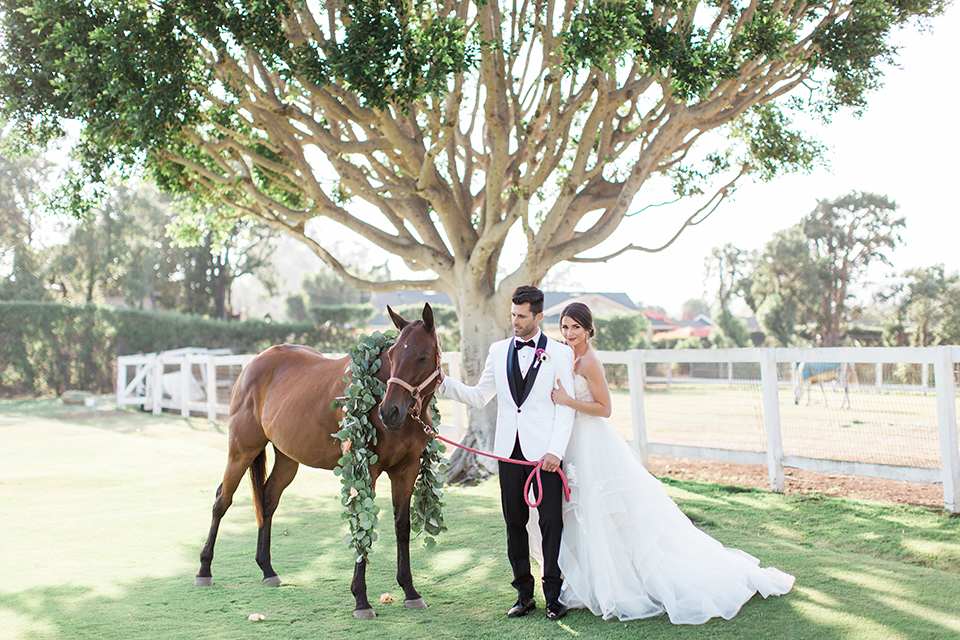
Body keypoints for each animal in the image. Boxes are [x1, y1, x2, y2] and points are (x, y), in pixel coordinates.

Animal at [197, 304, 444, 620]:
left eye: (422, 356)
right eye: (391, 356)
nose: (390, 411)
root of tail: (253, 364)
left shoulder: (406, 471)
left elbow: (401, 527)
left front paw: (410, 591)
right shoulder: (366, 472)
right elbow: (361, 526)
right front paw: (361, 600)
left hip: (287, 460)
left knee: (267, 500)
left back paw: (267, 569)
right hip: (241, 450)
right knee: (222, 501)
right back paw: (204, 569)